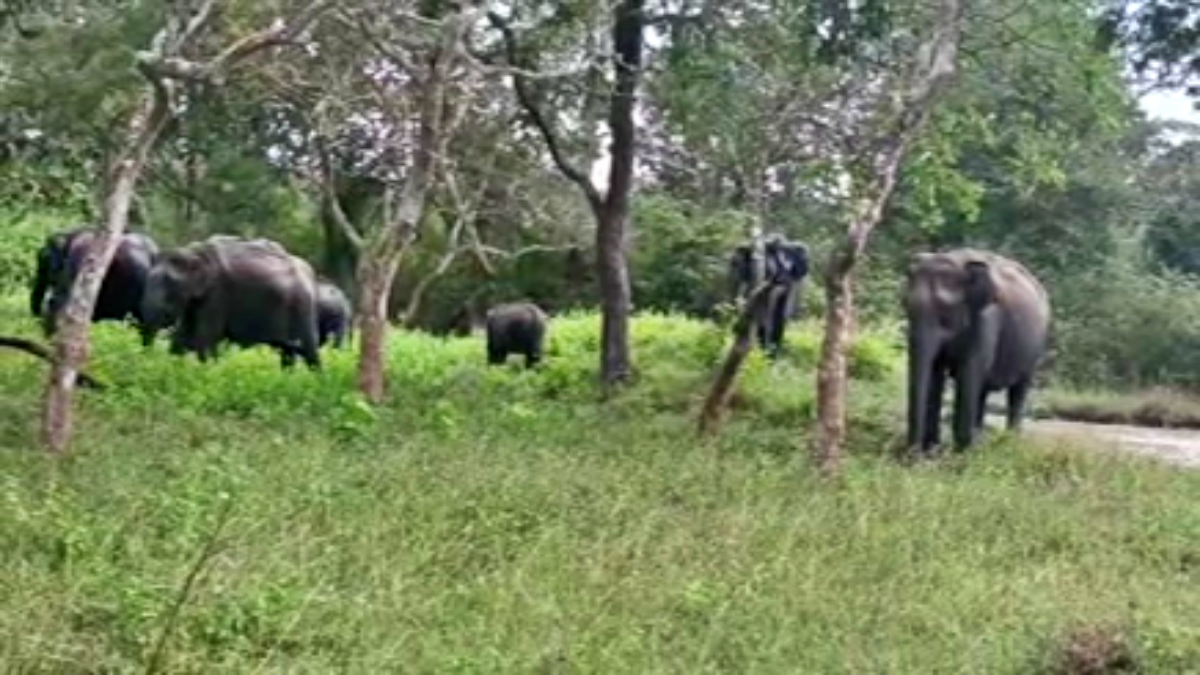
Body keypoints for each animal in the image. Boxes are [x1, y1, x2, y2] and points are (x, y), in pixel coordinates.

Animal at [139, 233, 324, 367]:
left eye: (170, 283)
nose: (148, 361)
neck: (194, 252)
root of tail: (310, 271)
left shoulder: (217, 295)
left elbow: (204, 340)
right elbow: (183, 336)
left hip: (302, 305)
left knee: (307, 349)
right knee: (287, 351)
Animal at [902, 247, 1056, 451]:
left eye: (945, 317)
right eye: (906, 308)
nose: (912, 454)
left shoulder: (987, 319)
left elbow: (968, 371)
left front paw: (961, 453)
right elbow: (936, 372)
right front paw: (934, 451)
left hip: (1035, 348)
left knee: (1019, 389)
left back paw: (1009, 442)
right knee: (982, 390)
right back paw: (980, 440)